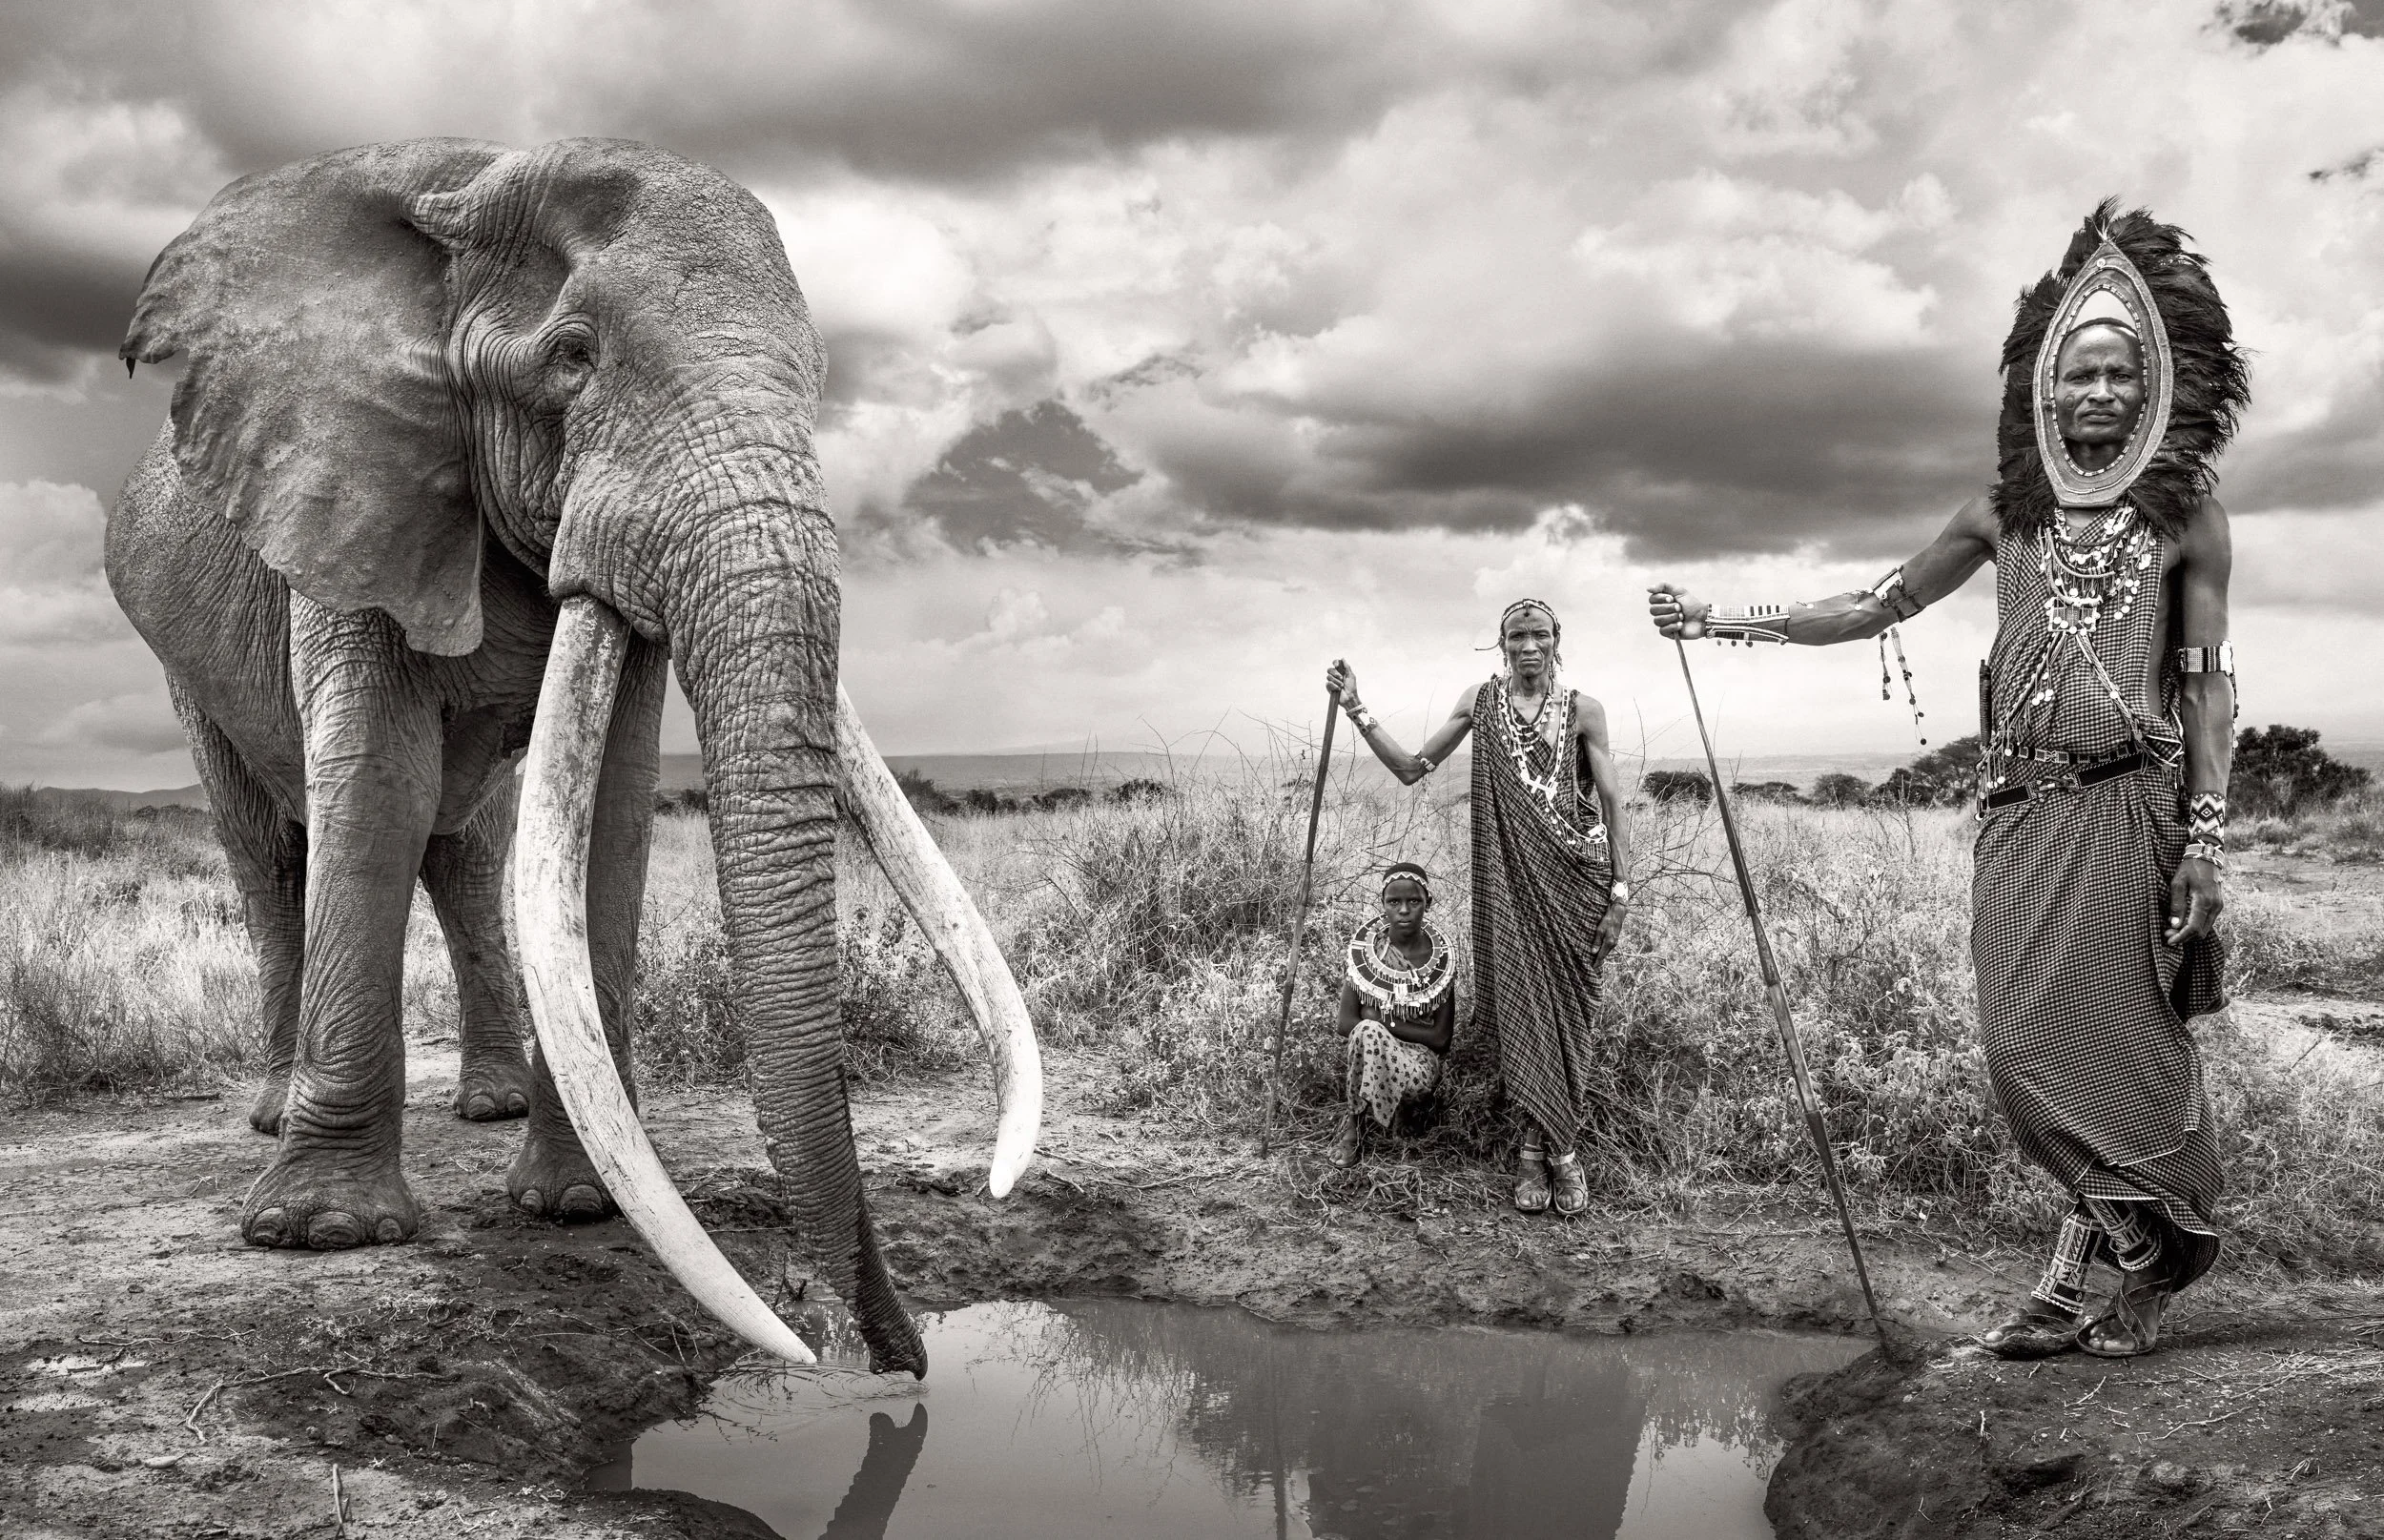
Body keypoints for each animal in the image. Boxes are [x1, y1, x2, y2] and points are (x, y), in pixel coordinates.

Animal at [107, 137, 1042, 1377]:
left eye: (816, 374)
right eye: (572, 358)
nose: (894, 1357)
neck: (468, 187)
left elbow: (609, 804)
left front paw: (574, 1206)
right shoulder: (345, 485)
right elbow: (377, 786)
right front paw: (321, 1233)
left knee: (470, 848)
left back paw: (491, 1103)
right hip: (180, 662)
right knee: (268, 850)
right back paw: (273, 1110)